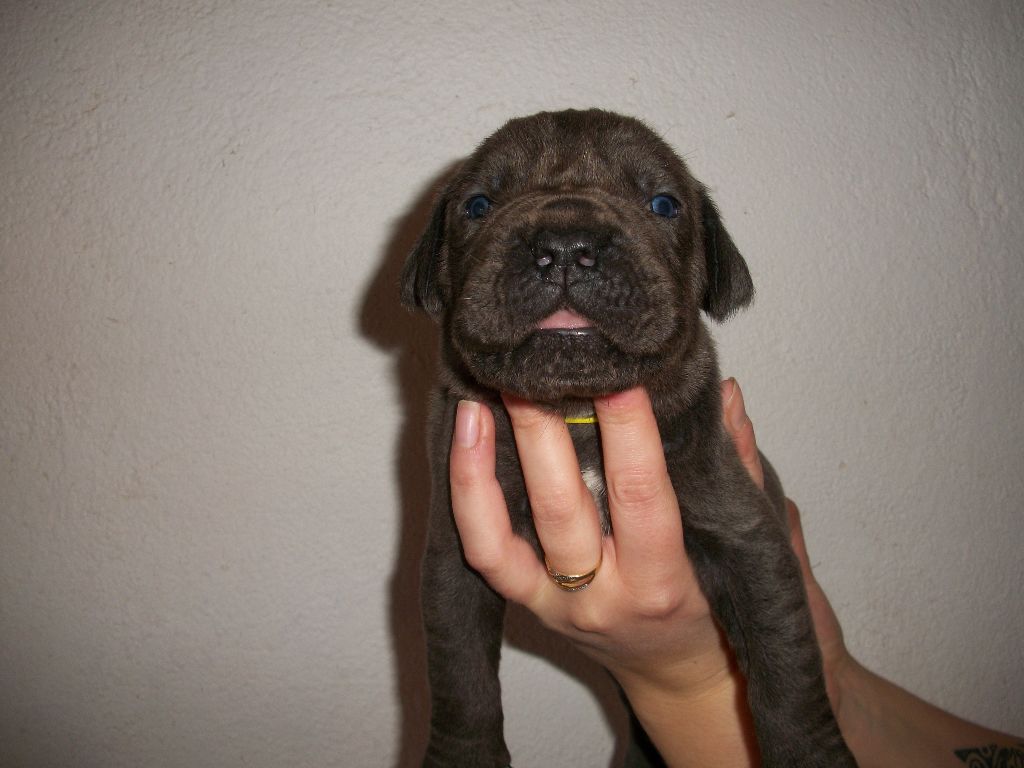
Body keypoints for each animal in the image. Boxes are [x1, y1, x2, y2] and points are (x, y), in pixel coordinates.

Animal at [399, 109, 856, 768]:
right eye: (479, 204)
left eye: (663, 204)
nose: (566, 245)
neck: (579, 415)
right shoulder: (452, 561)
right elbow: (461, 680)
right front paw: (464, 758)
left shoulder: (749, 538)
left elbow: (787, 668)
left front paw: (812, 755)